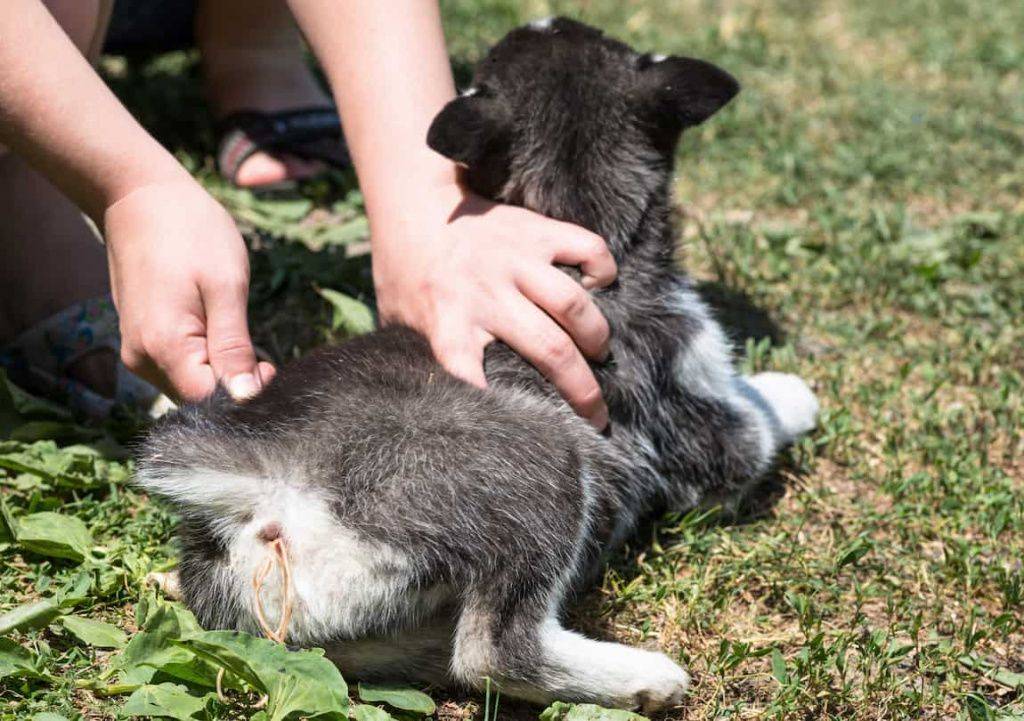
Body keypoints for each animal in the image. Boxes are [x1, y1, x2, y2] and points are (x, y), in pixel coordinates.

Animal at [136, 18, 819, 716]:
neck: (571, 207)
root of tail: (246, 479)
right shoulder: (697, 408)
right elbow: (759, 420)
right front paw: (792, 391)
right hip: (545, 464)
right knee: (493, 654)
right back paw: (644, 678)